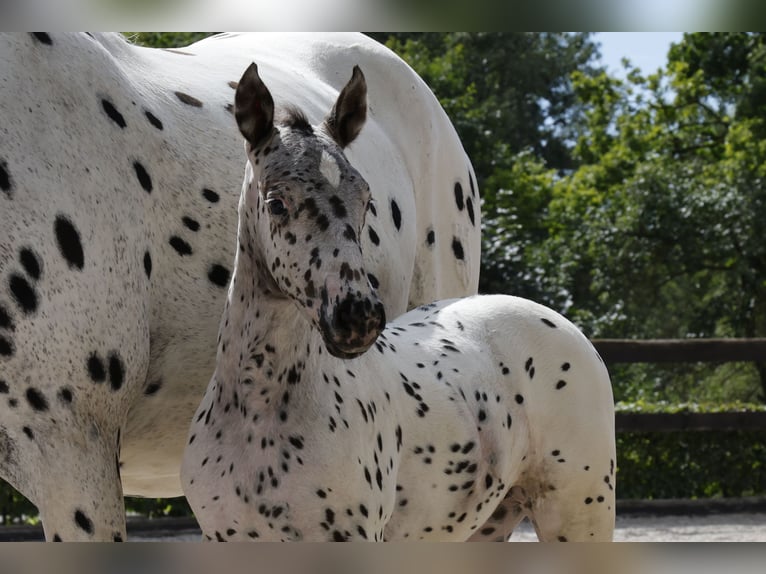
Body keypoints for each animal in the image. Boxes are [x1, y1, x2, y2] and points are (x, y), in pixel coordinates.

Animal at [182, 64, 616, 544]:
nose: (357, 317)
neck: (258, 409)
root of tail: (566, 328)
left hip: (579, 514)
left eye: (366, 200)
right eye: (277, 202)